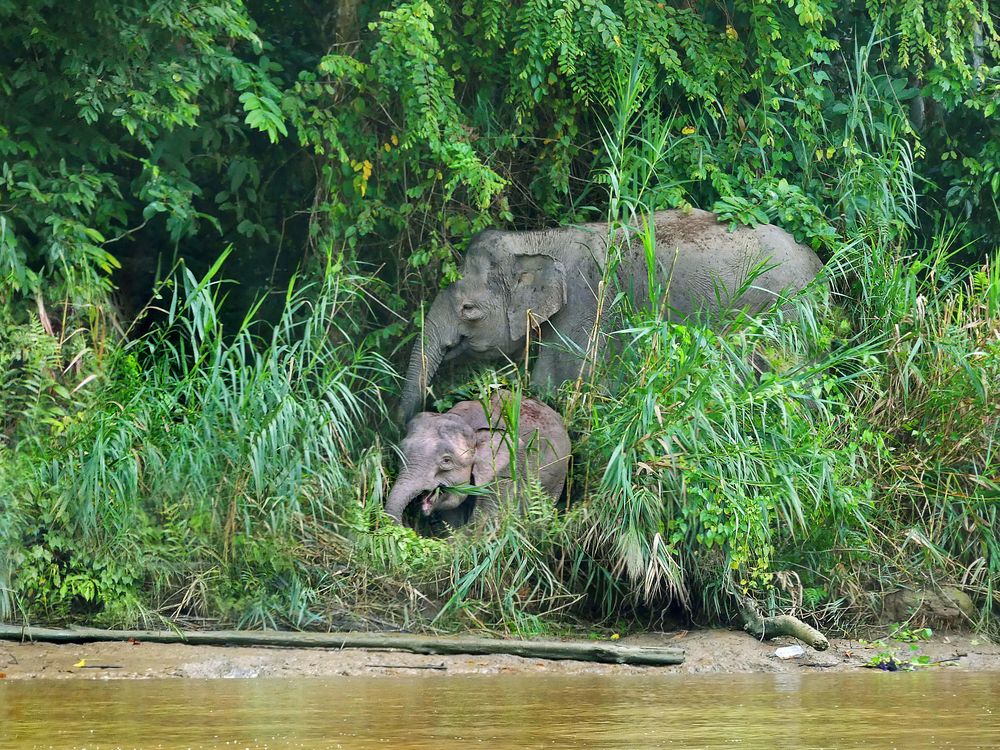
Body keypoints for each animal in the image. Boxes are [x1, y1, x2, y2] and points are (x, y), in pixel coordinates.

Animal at [382, 394, 572, 528]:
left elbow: (486, 520)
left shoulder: (507, 468)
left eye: (446, 461)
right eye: (399, 454)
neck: (465, 420)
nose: (410, 525)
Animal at [396, 209, 820, 424]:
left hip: (784, 312)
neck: (536, 239)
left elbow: (566, 385)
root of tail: (818, 263)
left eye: (468, 310)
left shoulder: (587, 303)